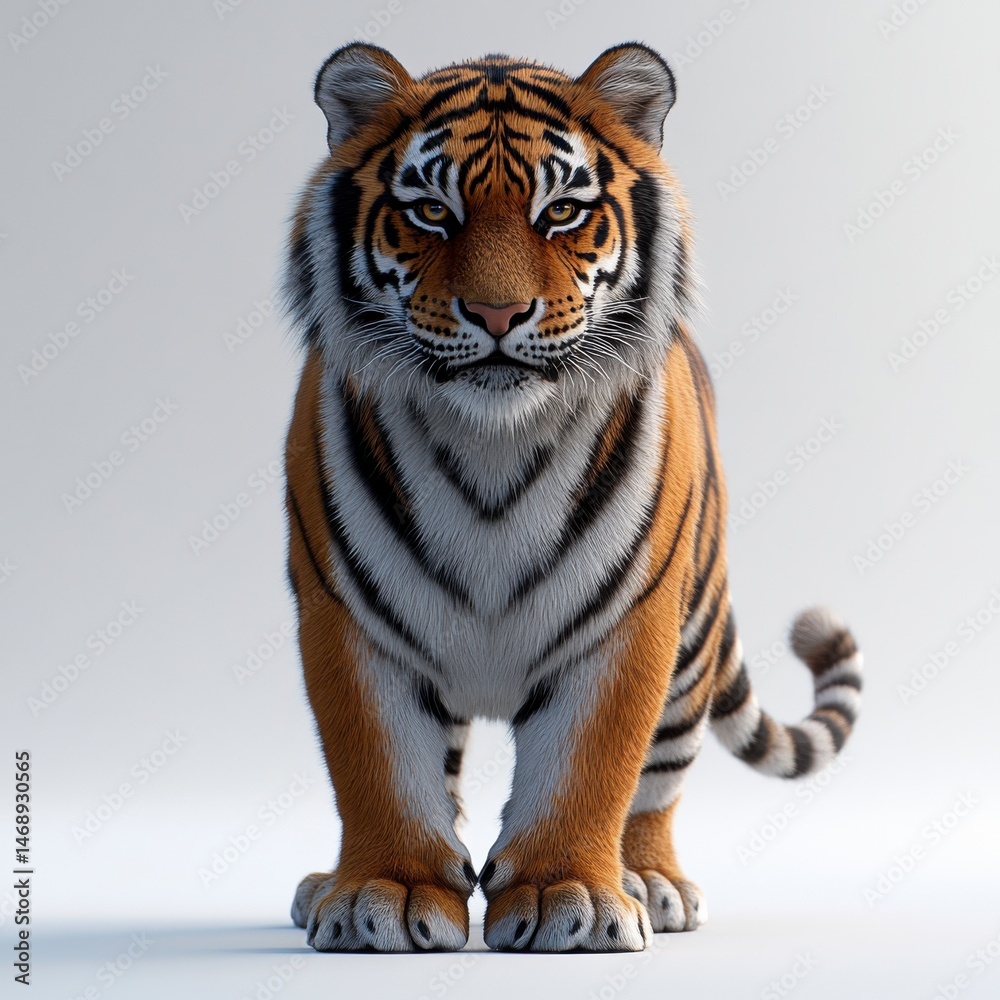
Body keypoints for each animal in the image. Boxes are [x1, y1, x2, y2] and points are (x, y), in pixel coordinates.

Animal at [281, 41, 862, 953]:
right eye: (431, 211)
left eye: (560, 212)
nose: (496, 313)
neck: (491, 444)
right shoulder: (348, 619)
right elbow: (381, 767)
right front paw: (390, 891)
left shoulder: (626, 624)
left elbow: (588, 767)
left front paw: (569, 897)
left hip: (690, 647)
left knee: (658, 782)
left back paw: (650, 881)